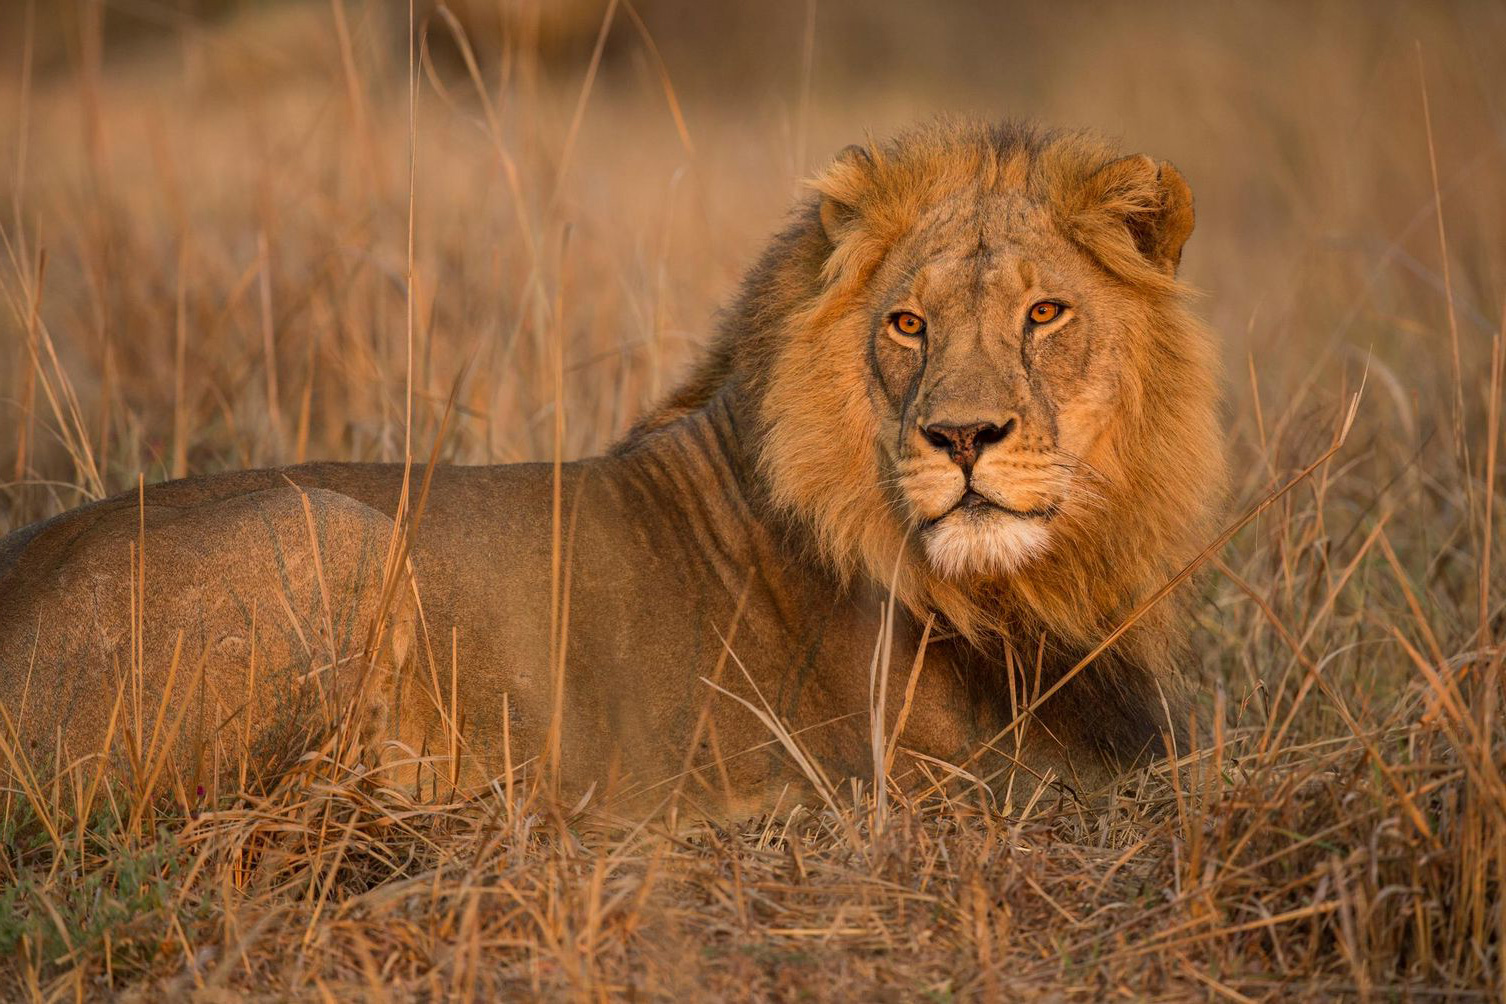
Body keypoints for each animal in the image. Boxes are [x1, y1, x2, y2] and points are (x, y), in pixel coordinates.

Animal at [0, 119, 1225, 816]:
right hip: (330, 531)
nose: (962, 439)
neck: (1029, 582)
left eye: (1045, 313)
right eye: (909, 324)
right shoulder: (949, 775)